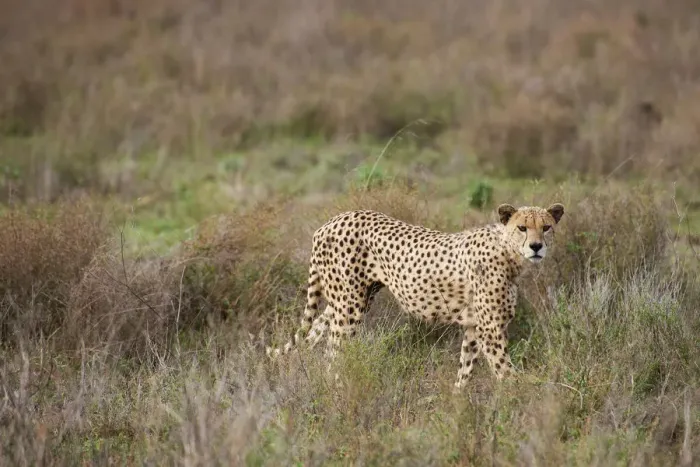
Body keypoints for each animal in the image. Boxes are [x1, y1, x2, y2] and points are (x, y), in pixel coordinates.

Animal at [266, 203, 565, 389]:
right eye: (522, 228)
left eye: (546, 227)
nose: (536, 247)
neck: (508, 251)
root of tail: (330, 222)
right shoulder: (490, 329)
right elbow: (506, 371)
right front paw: (521, 405)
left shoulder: (473, 327)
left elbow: (465, 370)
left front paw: (458, 406)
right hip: (349, 306)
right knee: (334, 350)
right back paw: (337, 394)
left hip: (349, 299)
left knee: (318, 331)